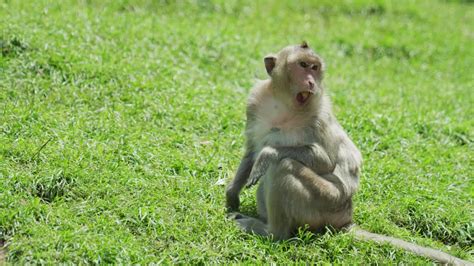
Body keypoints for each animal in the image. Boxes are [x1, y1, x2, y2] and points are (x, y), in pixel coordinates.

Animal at [225, 42, 470, 264]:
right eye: (303, 65)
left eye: (315, 67)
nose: (311, 82)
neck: (285, 103)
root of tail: (345, 219)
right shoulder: (254, 102)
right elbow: (251, 151)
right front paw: (232, 195)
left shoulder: (320, 112)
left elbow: (324, 161)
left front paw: (267, 154)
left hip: (325, 204)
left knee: (284, 166)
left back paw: (270, 231)